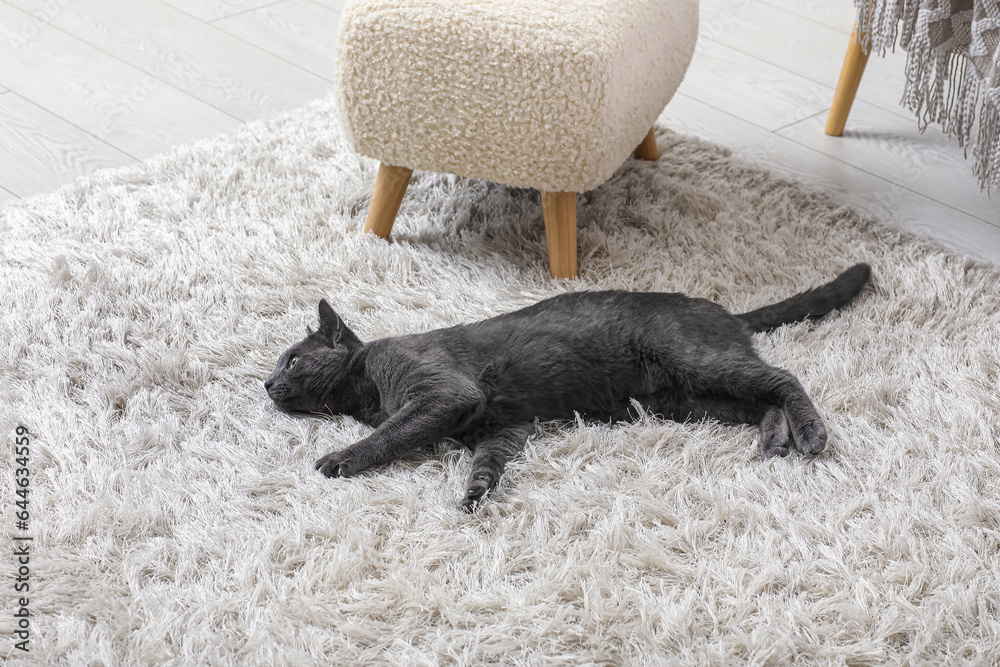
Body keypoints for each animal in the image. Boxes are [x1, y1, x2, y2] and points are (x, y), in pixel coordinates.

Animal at [264, 264, 868, 508]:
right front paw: (477, 492)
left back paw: (809, 435)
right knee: (762, 400)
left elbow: (390, 434)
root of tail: (723, 311)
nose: (267, 382)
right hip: (687, 398)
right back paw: (774, 440)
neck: (365, 388)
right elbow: (487, 460)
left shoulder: (443, 393)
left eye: (292, 359)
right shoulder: (502, 428)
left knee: (783, 378)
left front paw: (340, 458)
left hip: (696, 364)